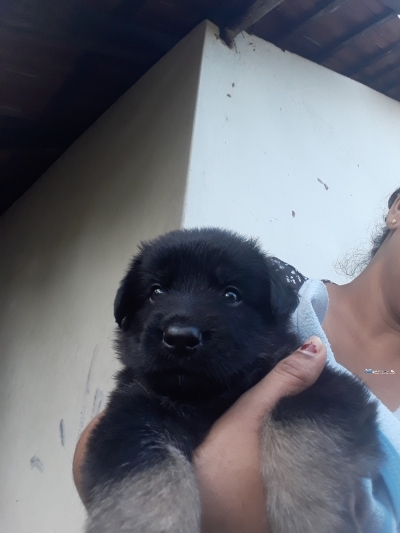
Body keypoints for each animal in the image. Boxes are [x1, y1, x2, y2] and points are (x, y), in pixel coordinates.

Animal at [82, 228, 382, 532]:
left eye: (231, 294)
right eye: (156, 291)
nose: (180, 337)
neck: (207, 395)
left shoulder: (331, 388)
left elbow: (295, 422)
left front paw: (310, 516)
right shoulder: (127, 416)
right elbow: (145, 481)